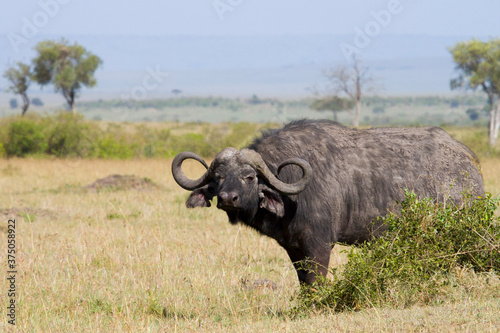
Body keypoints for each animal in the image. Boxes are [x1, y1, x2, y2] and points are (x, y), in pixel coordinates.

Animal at [171, 118, 484, 282]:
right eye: (219, 177)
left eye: (249, 176)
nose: (227, 198)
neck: (290, 196)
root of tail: (468, 161)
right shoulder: (293, 247)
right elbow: (303, 280)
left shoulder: (319, 244)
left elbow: (316, 280)